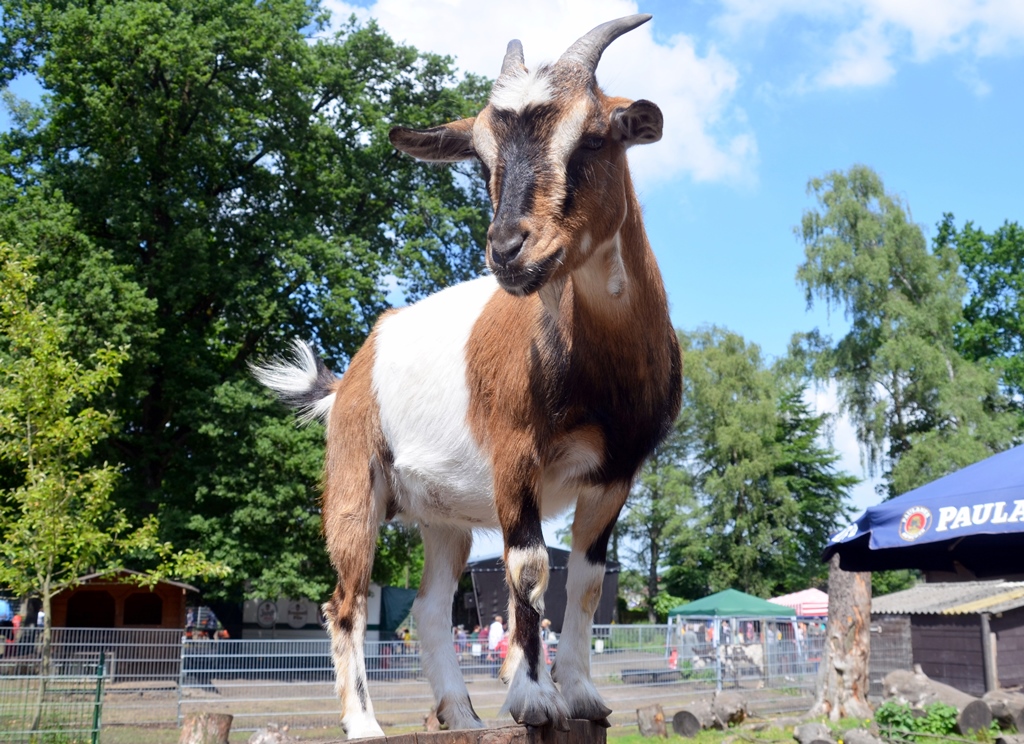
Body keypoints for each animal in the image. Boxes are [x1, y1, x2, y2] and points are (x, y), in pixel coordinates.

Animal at [252, 14, 681, 738]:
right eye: (481, 159)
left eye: (596, 136)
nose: (508, 249)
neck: (598, 369)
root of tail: (347, 379)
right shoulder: (515, 459)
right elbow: (529, 572)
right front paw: (534, 700)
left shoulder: (616, 474)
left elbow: (587, 581)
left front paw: (581, 695)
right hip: (354, 482)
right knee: (345, 599)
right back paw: (363, 723)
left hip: (443, 519)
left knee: (428, 608)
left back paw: (460, 713)